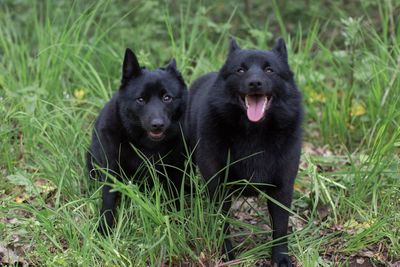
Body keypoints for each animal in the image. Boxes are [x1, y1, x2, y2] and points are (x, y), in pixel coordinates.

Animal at [87, 48, 188, 234]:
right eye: (141, 99)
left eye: (167, 98)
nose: (157, 124)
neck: (146, 145)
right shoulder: (111, 170)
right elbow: (108, 200)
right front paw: (104, 229)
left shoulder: (174, 171)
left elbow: (175, 199)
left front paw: (177, 224)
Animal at [186, 38, 302, 267]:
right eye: (240, 70)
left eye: (269, 70)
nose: (255, 83)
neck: (254, 134)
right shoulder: (218, 188)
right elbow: (222, 225)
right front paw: (225, 255)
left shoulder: (282, 188)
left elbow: (280, 227)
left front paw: (281, 257)